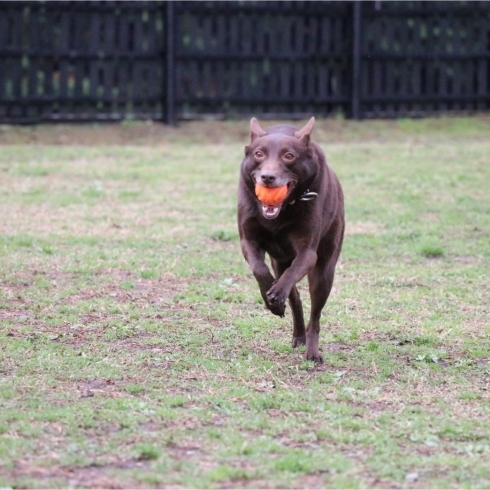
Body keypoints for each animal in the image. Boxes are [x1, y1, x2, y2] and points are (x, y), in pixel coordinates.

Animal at [237, 117, 344, 364]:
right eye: (259, 154)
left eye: (289, 156)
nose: (268, 177)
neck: (282, 211)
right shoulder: (248, 241)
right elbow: (259, 269)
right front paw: (271, 298)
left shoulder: (307, 252)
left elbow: (295, 270)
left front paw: (276, 293)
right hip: (279, 261)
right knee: (295, 296)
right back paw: (297, 333)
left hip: (325, 269)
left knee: (315, 313)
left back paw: (312, 350)